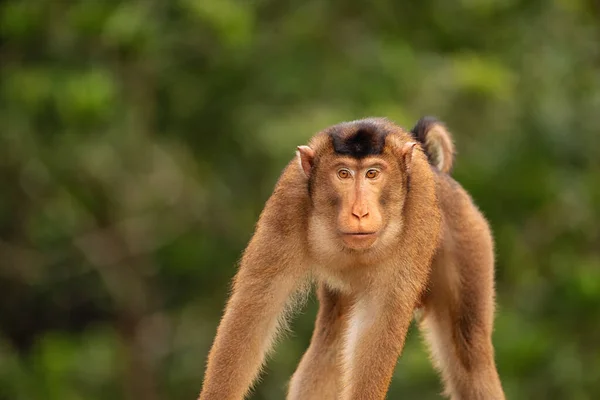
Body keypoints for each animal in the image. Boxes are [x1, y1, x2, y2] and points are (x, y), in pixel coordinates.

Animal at [199, 115, 504, 400]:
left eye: (372, 174)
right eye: (343, 174)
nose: (359, 212)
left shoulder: (417, 208)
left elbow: (381, 320)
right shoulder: (289, 199)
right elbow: (255, 308)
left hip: (469, 237)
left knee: (470, 352)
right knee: (330, 345)